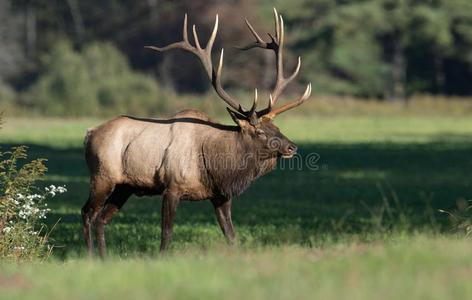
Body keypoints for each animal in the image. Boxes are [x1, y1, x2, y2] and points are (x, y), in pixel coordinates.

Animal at [81, 8, 310, 256]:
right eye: (260, 132)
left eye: (277, 127)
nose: (292, 147)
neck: (216, 166)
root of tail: (89, 133)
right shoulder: (171, 187)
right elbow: (166, 234)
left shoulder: (220, 196)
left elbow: (232, 236)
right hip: (102, 176)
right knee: (87, 213)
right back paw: (91, 257)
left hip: (125, 186)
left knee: (102, 219)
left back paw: (104, 258)